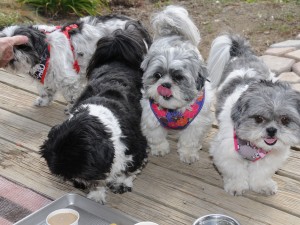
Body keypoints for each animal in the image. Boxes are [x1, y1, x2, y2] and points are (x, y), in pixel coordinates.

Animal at [0, 14, 137, 111]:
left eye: (23, 46)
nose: (11, 50)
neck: (46, 52)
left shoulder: (68, 80)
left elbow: (72, 96)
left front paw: (72, 108)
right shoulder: (47, 78)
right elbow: (46, 91)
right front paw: (44, 101)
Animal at [39, 20, 151, 203]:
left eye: (84, 174)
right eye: (69, 178)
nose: (78, 185)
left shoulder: (138, 148)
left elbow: (131, 169)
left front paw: (121, 182)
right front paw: (97, 193)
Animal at [207, 34, 300, 196]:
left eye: (285, 120)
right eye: (258, 119)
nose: (271, 130)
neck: (254, 146)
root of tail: (243, 54)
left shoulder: (271, 156)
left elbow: (262, 172)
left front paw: (262, 185)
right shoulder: (225, 151)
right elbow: (235, 170)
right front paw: (236, 185)